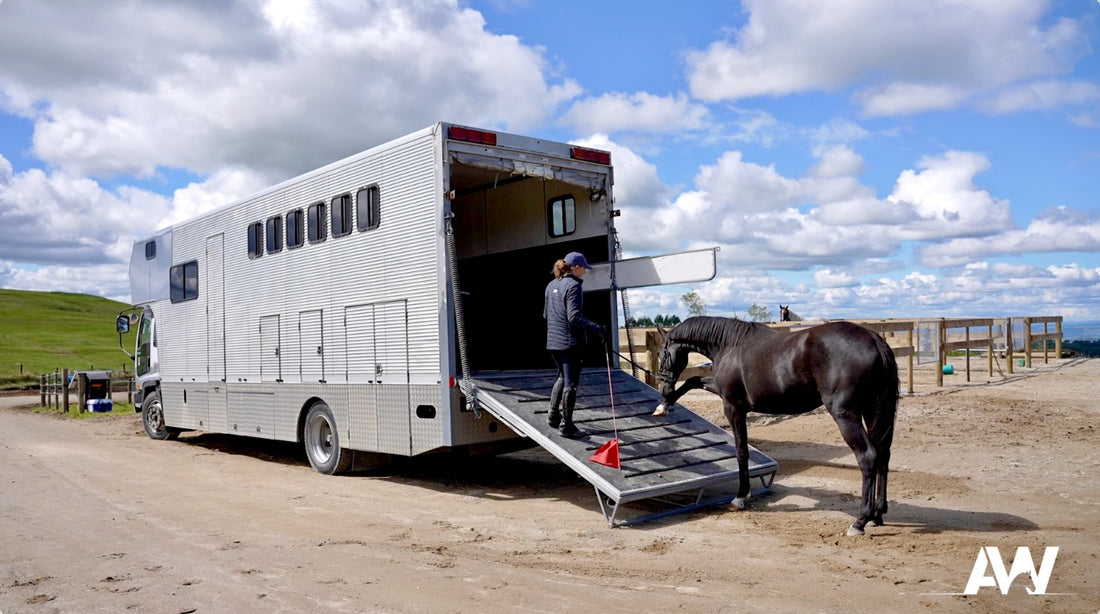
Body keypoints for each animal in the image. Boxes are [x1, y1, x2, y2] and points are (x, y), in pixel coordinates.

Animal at [655, 316, 897, 534]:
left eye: (660, 353)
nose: (663, 387)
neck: (730, 345)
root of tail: (874, 340)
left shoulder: (733, 407)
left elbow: (741, 451)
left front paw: (740, 497)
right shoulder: (723, 394)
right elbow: (693, 380)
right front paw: (663, 406)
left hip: (846, 415)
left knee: (868, 456)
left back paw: (860, 521)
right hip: (871, 412)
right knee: (883, 455)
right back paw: (877, 514)